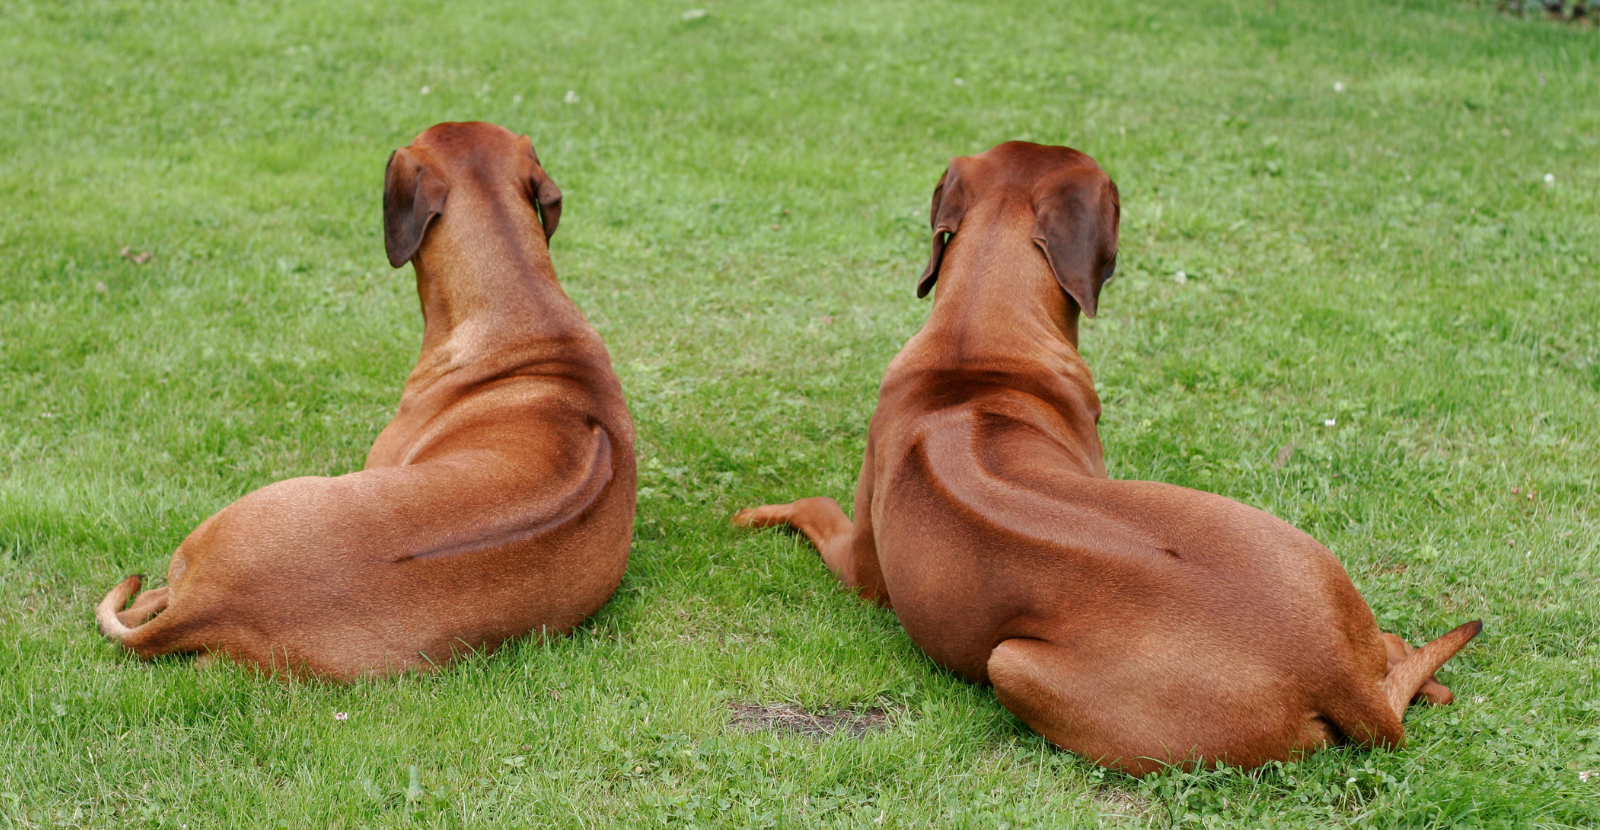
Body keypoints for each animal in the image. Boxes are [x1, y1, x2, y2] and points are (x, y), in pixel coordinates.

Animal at [732, 141, 1478, 774]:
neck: (974, 348)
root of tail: (1334, 673)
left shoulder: (861, 566)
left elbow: (815, 504)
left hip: (1010, 663)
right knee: (1402, 656)